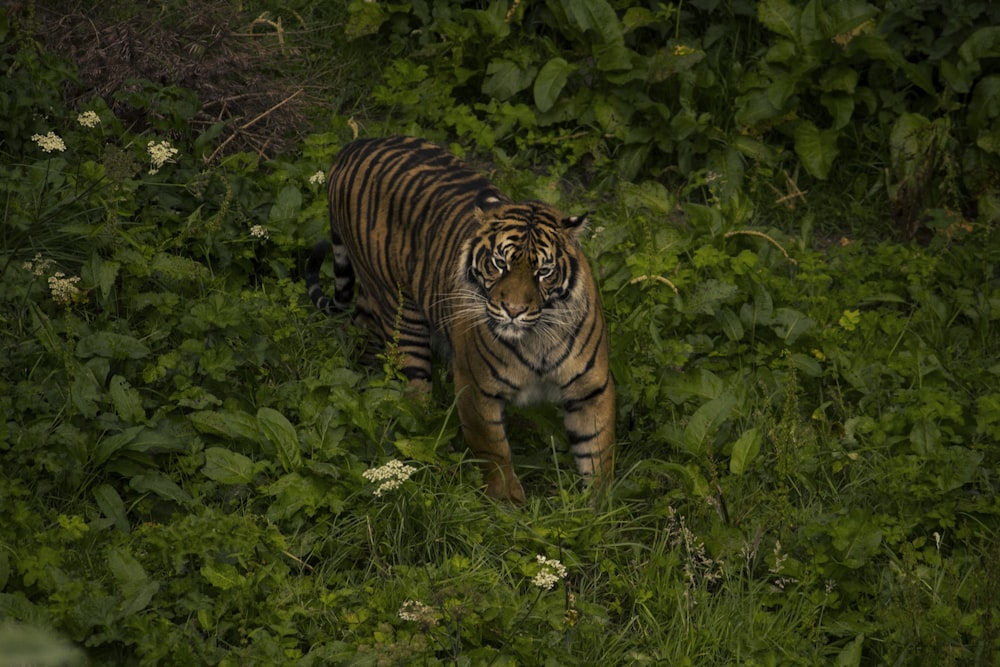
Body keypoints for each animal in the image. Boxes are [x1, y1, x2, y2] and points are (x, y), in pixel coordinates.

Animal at [304, 136, 616, 500]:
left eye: (544, 272)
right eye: (499, 264)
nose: (514, 310)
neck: (537, 338)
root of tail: (354, 145)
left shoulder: (591, 389)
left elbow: (598, 453)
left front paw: (598, 506)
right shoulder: (475, 386)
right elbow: (494, 451)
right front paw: (508, 502)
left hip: (371, 298)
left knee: (357, 330)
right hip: (400, 311)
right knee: (414, 394)